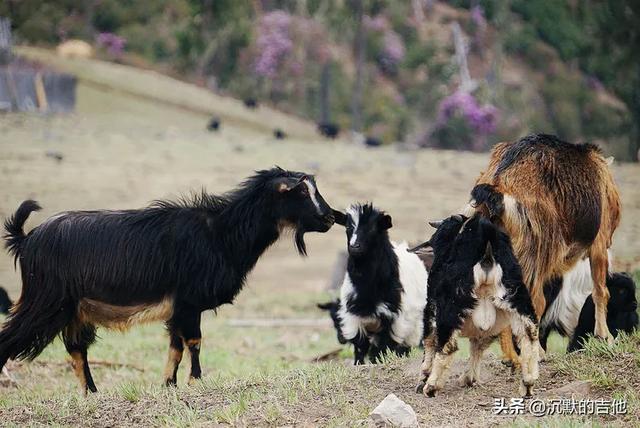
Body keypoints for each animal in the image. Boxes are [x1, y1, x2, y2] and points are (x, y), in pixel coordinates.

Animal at [1, 166, 336, 392]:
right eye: (301, 191)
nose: (331, 218)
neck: (220, 233)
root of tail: (26, 240)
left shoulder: (178, 307)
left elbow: (175, 347)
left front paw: (169, 385)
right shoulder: (188, 302)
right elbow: (194, 342)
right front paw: (195, 381)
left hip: (74, 310)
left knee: (76, 352)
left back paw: (92, 394)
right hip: (45, 301)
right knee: (12, 340)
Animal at [330, 204, 430, 364]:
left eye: (372, 228)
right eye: (348, 227)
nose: (354, 246)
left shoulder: (393, 318)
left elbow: (383, 347)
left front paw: (379, 362)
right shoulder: (354, 318)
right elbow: (360, 346)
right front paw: (359, 364)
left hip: (414, 324)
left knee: (404, 347)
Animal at [416, 216, 540, 400]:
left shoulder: (431, 308)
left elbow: (430, 341)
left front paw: (424, 378)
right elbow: (477, 346)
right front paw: (469, 378)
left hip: (450, 309)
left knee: (447, 345)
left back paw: (431, 386)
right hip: (518, 302)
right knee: (529, 337)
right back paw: (528, 383)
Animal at [462, 134, 624, 362]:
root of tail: (498, 186)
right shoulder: (598, 242)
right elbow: (600, 290)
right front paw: (605, 337)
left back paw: (511, 356)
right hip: (533, 256)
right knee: (533, 302)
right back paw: (537, 352)